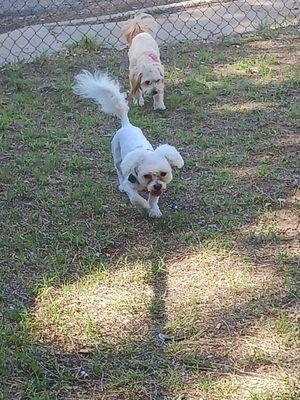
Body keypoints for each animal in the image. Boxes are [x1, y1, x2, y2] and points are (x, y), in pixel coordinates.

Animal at [74, 70, 184, 217]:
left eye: (163, 173)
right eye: (146, 175)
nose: (158, 186)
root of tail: (127, 124)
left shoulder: (154, 190)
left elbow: (153, 199)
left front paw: (154, 210)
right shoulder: (130, 186)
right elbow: (135, 198)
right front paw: (144, 205)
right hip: (117, 158)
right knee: (119, 172)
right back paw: (120, 185)